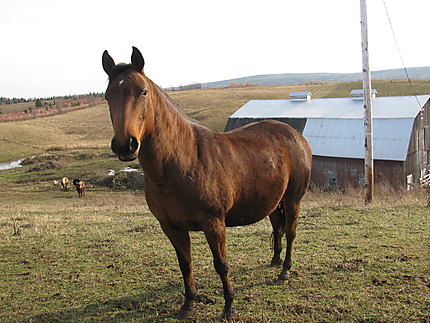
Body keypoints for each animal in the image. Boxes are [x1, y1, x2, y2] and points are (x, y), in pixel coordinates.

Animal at [102, 46, 310, 322]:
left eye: (143, 92)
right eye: (107, 96)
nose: (125, 145)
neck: (184, 161)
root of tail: (295, 135)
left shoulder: (214, 224)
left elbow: (221, 265)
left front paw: (229, 307)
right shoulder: (171, 227)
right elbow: (185, 264)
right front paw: (188, 304)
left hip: (293, 199)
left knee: (291, 231)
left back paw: (284, 271)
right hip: (273, 201)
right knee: (278, 226)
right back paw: (275, 261)